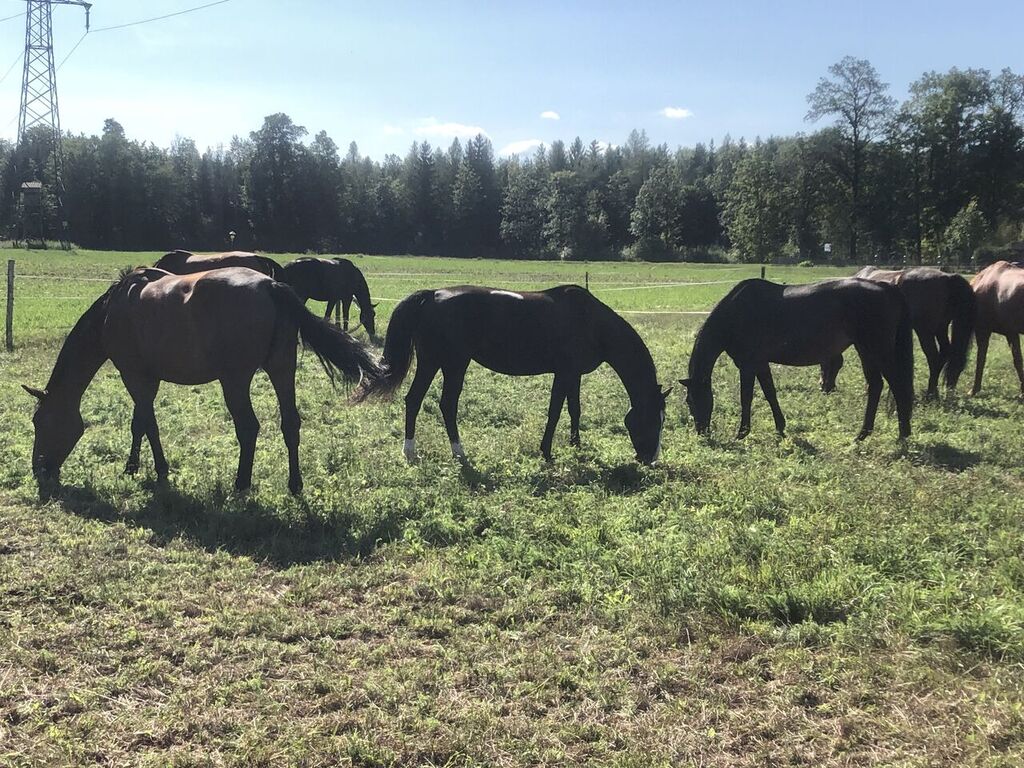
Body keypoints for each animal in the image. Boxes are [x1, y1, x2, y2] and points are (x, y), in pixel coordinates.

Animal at [24, 268, 385, 495]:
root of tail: (271, 286)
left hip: (235, 381)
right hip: (282, 369)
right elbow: (139, 423)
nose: (38, 469)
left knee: (249, 428)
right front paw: (132, 467)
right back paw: (295, 485)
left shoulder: (134, 375)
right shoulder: (147, 378)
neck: (111, 312)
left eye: (39, 421)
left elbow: (147, 423)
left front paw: (158, 471)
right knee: (290, 423)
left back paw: (241, 484)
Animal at [352, 282, 671, 462]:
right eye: (652, 420)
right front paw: (546, 452)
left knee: (415, 400)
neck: (590, 321)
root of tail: (431, 296)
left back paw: (412, 452)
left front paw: (576, 446)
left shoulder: (574, 375)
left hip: (436, 363)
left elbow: (574, 410)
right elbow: (555, 412)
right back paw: (454, 453)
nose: (650, 459)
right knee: (446, 405)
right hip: (452, 363)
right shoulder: (564, 374)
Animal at [679, 280, 913, 442]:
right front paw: (780, 428)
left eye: (693, 400)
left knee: (897, 385)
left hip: (876, 350)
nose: (702, 431)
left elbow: (746, 398)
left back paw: (901, 435)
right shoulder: (761, 364)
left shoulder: (747, 366)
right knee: (875, 386)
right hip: (866, 351)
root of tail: (886, 287)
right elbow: (770, 394)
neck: (736, 314)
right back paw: (864, 435)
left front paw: (742, 433)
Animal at [815, 266, 974, 397]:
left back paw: (931, 392)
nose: (824, 386)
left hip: (925, 331)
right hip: (940, 328)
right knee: (945, 353)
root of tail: (948, 276)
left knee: (933, 357)